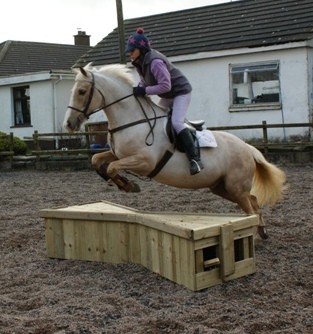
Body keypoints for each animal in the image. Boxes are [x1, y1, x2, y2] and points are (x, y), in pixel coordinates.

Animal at [62, 63, 286, 240]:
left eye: (81, 91)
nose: (69, 124)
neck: (133, 119)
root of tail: (247, 147)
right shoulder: (119, 154)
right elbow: (97, 160)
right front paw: (121, 183)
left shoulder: (144, 162)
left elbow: (112, 167)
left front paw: (128, 185)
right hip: (222, 187)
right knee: (253, 202)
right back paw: (262, 232)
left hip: (235, 187)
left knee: (250, 209)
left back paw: (254, 237)